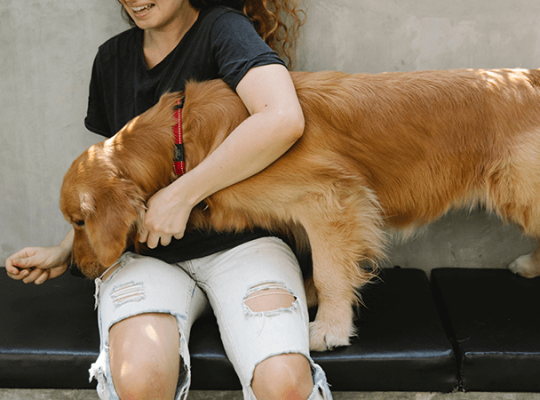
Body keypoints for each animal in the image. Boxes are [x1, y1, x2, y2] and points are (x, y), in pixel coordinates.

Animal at [61, 69, 540, 350]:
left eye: (80, 221)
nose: (74, 270)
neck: (182, 142)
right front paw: (311, 293)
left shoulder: (329, 198)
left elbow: (330, 270)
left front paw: (330, 327)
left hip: (522, 190)